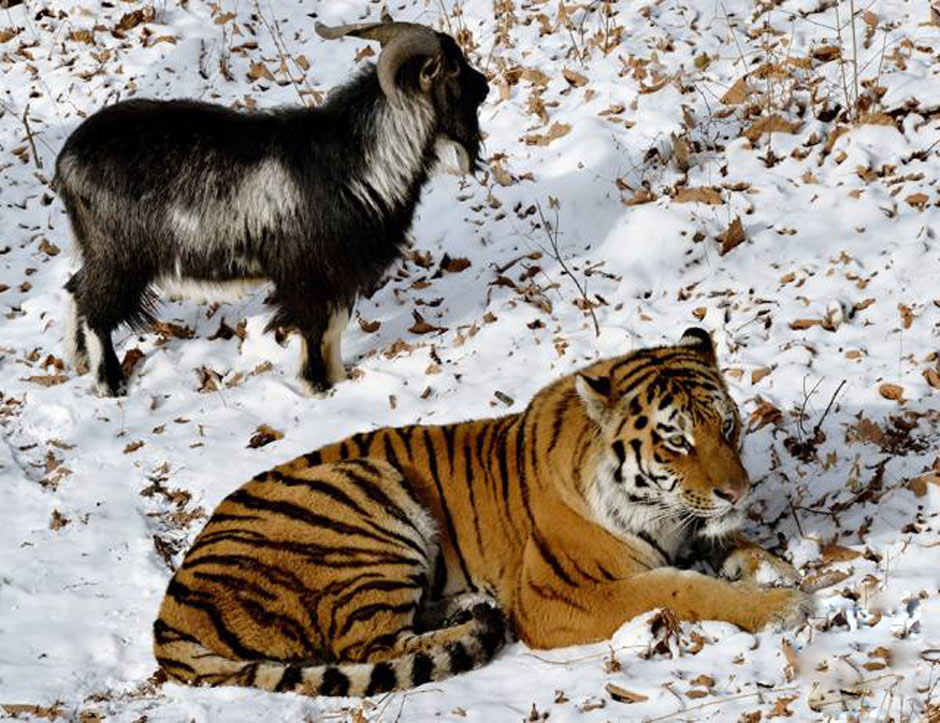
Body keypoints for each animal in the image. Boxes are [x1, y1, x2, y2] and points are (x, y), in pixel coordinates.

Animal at [55, 21, 488, 396]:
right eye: (452, 67)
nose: (484, 85)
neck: (359, 160)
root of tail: (67, 158)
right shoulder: (308, 273)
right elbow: (314, 327)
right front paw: (316, 386)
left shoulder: (338, 274)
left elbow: (334, 327)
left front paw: (339, 378)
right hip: (120, 256)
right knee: (96, 308)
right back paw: (109, 382)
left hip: (101, 252)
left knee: (76, 288)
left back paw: (79, 361)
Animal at [154, 328, 808, 696]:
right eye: (677, 441)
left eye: (727, 426)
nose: (737, 491)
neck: (657, 513)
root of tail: (169, 611)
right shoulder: (557, 595)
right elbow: (680, 589)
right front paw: (783, 606)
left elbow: (735, 548)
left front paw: (779, 569)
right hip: (365, 492)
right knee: (370, 646)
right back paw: (475, 619)